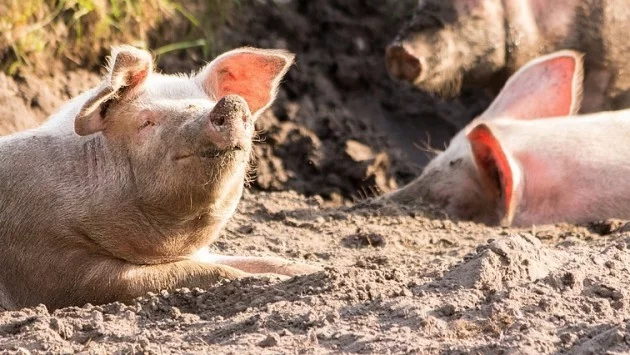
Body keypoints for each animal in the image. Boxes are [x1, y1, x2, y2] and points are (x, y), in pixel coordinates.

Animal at [0, 46, 324, 310]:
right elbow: (199, 272)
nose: (231, 103)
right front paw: (267, 281)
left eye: (207, 102)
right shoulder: (52, 264)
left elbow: (263, 260)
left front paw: (319, 270)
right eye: (146, 122)